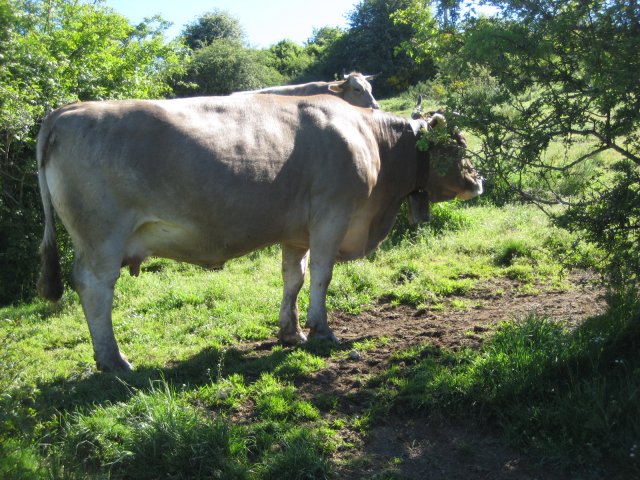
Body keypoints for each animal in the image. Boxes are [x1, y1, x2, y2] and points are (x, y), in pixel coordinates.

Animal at [36, 94, 483, 372]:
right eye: (456, 145)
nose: (478, 181)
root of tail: (67, 111)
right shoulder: (332, 215)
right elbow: (321, 276)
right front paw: (322, 331)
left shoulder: (296, 232)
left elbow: (293, 278)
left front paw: (292, 332)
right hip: (101, 239)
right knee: (95, 288)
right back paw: (113, 360)